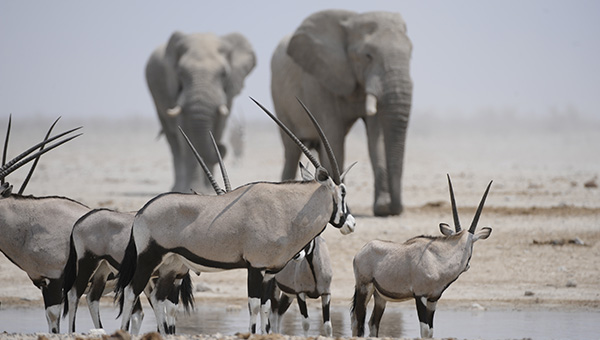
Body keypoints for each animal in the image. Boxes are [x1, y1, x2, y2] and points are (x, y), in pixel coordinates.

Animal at [114, 98, 354, 334]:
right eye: (342, 192)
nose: (351, 223)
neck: (286, 210)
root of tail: (142, 212)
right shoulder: (255, 267)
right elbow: (254, 305)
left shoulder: (268, 272)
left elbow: (265, 307)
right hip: (149, 259)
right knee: (130, 291)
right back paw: (124, 331)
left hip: (170, 265)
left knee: (156, 297)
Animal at [149, 31, 256, 194]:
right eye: (180, 73)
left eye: (224, 74)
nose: (222, 146)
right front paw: (195, 189)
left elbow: (218, 128)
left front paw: (208, 191)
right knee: (174, 144)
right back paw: (178, 188)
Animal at [272, 11, 412, 218]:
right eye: (368, 56)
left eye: (411, 53)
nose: (396, 210)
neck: (352, 20)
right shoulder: (320, 78)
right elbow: (333, 136)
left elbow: (375, 138)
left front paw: (382, 208)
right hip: (279, 100)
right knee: (291, 150)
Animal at [352, 177, 492, 338]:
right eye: (473, 244)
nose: (468, 265)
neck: (438, 260)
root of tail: (361, 251)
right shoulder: (421, 296)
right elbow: (424, 330)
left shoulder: (433, 299)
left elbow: (430, 331)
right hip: (364, 288)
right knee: (358, 322)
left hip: (380, 296)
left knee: (372, 323)